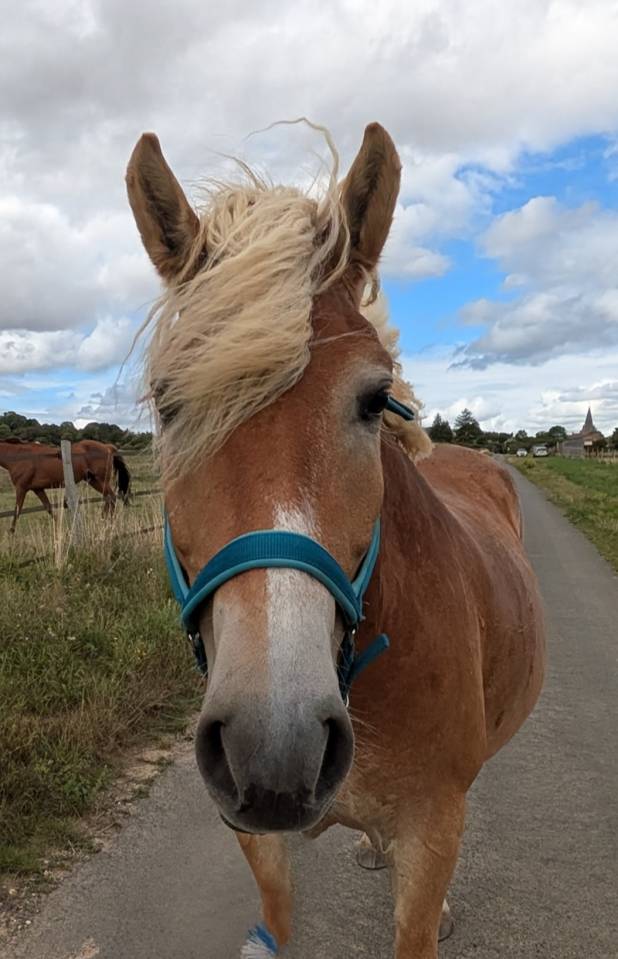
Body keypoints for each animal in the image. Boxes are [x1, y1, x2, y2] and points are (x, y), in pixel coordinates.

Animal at [0, 438, 131, 533]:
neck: (19, 456)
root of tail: (108, 447)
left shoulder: (21, 488)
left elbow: (17, 510)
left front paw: (11, 533)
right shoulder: (38, 489)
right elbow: (49, 508)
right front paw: (60, 527)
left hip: (100, 481)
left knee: (111, 497)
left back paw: (106, 521)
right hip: (93, 481)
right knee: (108, 498)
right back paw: (104, 520)